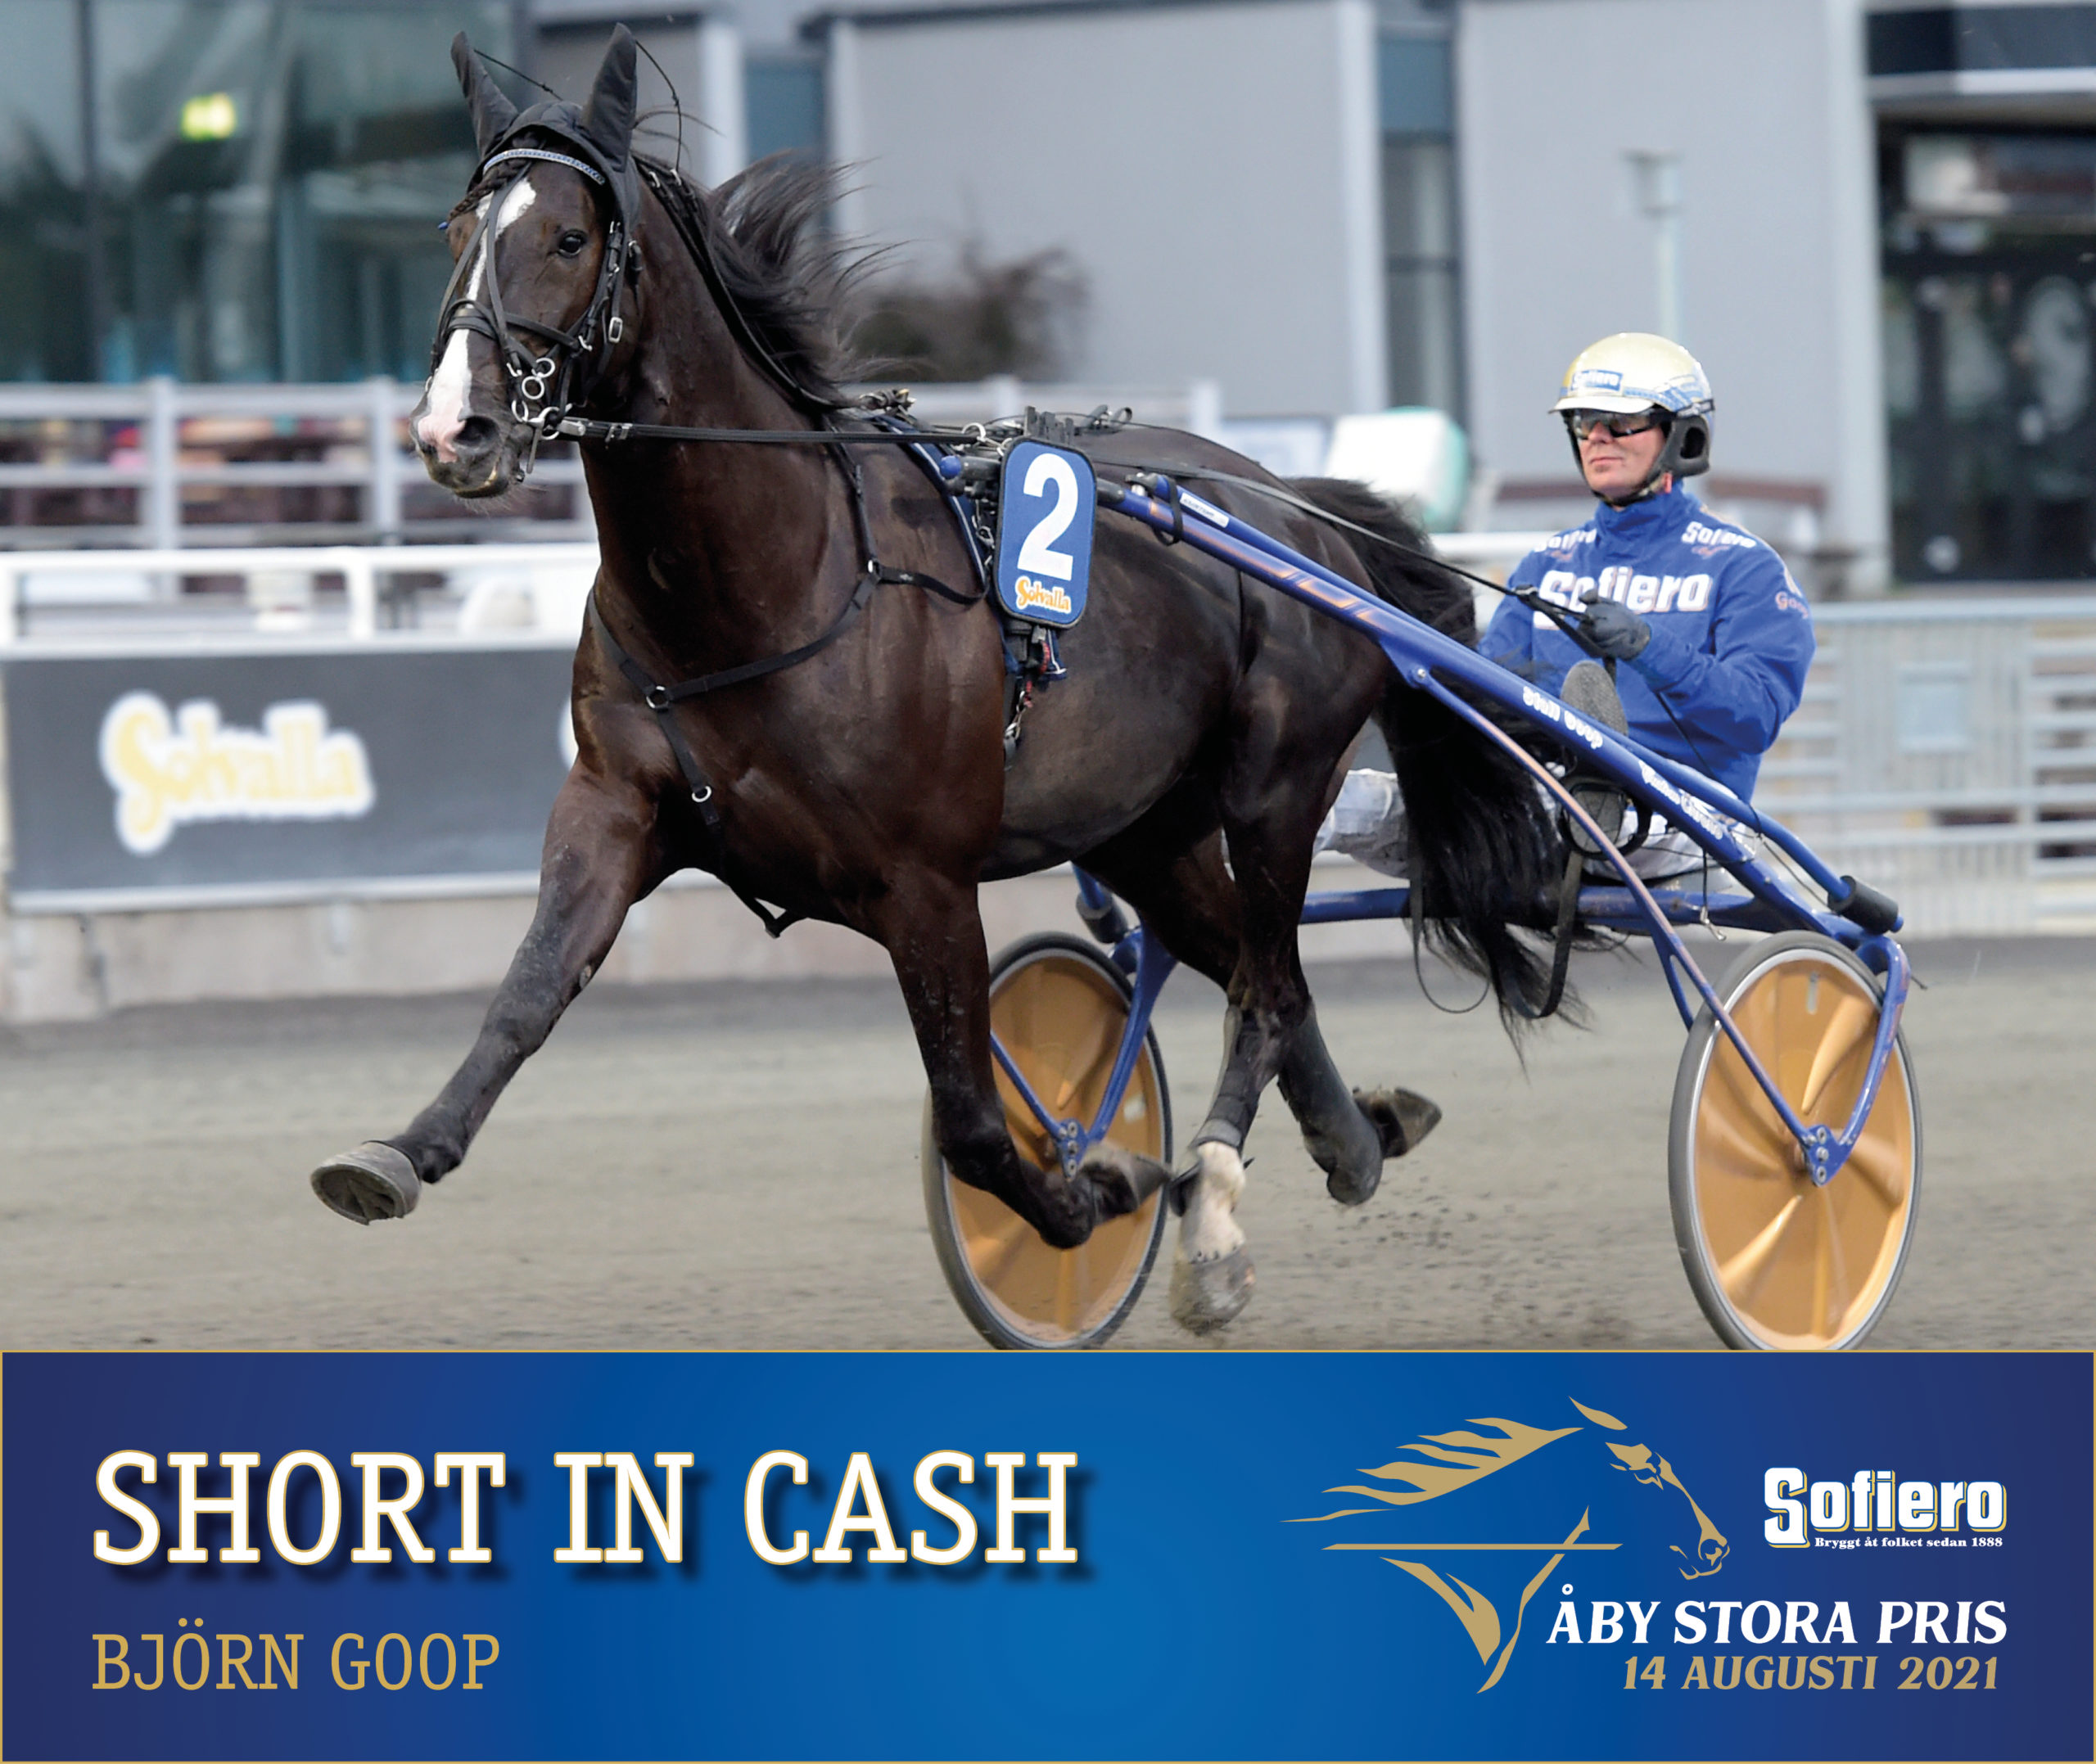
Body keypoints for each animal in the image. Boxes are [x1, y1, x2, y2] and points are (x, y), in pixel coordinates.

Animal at [306, 25, 1564, 1336]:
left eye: (566, 237)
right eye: (457, 228)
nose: (453, 430)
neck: (770, 579)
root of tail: (1297, 508)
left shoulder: (924, 882)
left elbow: (970, 1120)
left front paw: (1094, 1186)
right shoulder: (613, 806)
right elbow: (526, 991)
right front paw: (398, 1151)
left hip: (1275, 787)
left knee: (1265, 987)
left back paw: (1211, 1215)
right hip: (1145, 828)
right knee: (1260, 971)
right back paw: (1353, 1139)